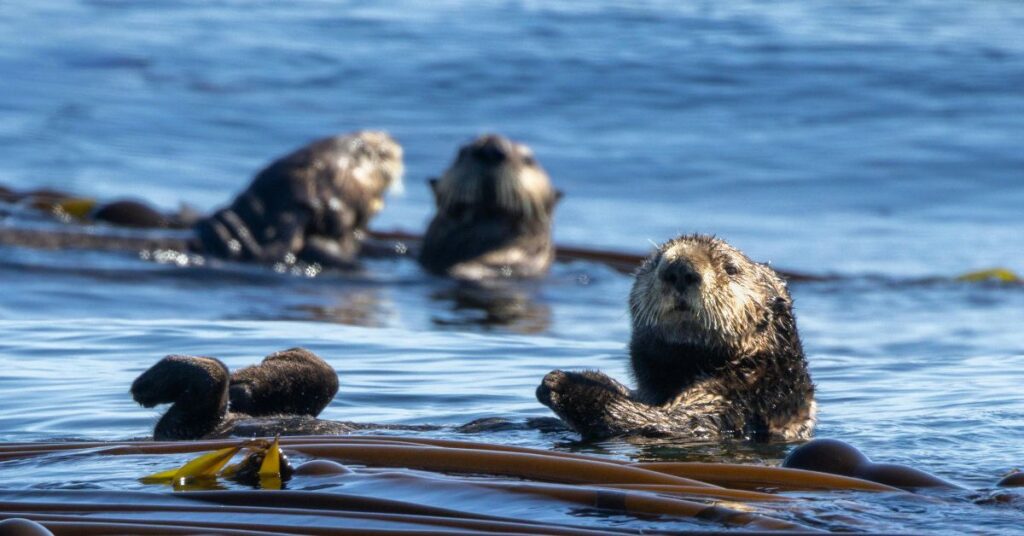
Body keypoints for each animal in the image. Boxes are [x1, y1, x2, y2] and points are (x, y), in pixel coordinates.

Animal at [536, 234, 815, 440]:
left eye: (731, 268)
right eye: (655, 261)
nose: (680, 269)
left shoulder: (735, 404)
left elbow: (664, 423)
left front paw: (561, 383)